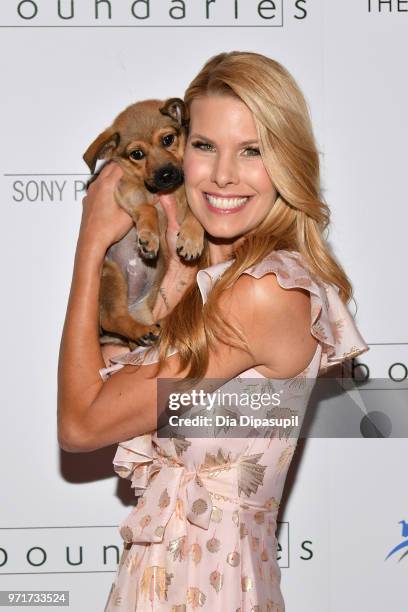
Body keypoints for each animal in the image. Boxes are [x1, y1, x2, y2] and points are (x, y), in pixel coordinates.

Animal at [83, 99, 204, 350]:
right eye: (137, 154)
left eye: (168, 139)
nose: (166, 175)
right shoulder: (124, 188)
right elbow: (148, 208)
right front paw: (149, 237)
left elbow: (194, 214)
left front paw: (191, 240)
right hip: (111, 274)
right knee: (112, 317)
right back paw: (141, 330)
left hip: (142, 301)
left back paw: (146, 332)